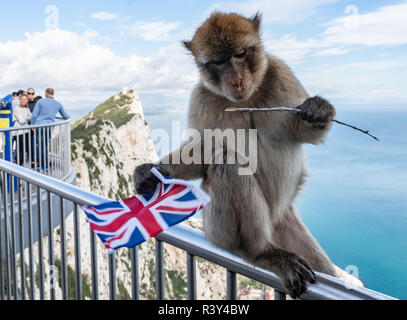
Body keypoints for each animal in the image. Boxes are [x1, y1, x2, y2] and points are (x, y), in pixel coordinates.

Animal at [134, 11, 338, 298]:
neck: (246, 98)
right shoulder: (202, 98)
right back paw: (261, 252)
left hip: (285, 224)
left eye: (240, 54)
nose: (236, 80)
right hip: (215, 227)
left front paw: (318, 110)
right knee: (227, 163)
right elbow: (203, 151)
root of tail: (273, 220)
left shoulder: (281, 73)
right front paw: (153, 170)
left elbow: (303, 134)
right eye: (219, 62)